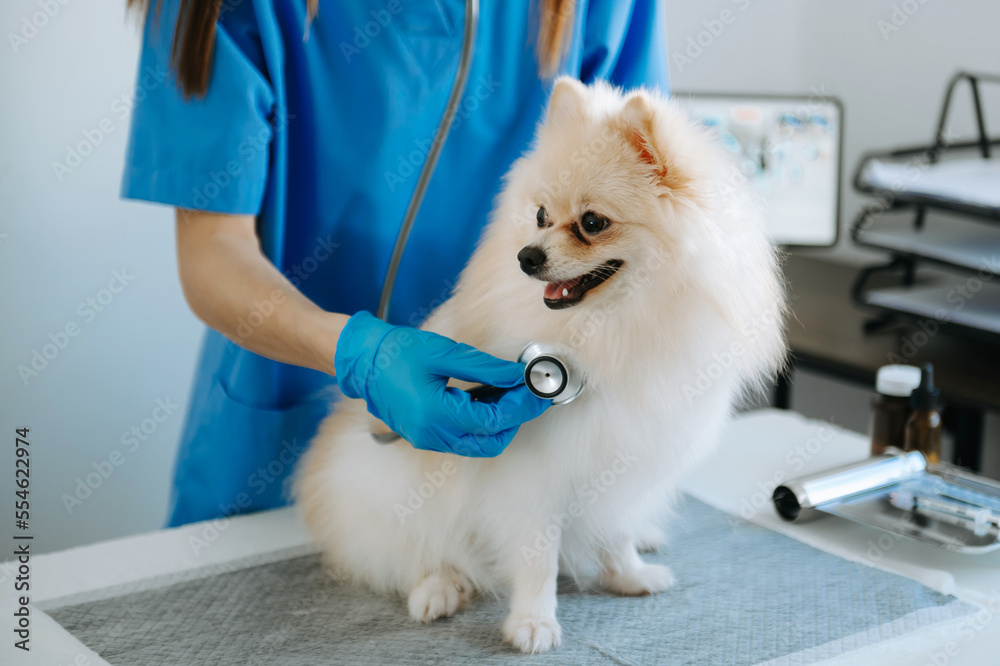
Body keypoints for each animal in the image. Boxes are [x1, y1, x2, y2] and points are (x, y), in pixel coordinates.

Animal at [296, 76, 788, 648]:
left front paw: (628, 575)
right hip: (390, 481)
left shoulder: (622, 461)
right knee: (412, 550)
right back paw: (438, 588)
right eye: (540, 216)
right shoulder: (531, 478)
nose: (527, 256)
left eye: (592, 222)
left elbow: (616, 530)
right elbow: (537, 557)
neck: (615, 328)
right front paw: (533, 622)